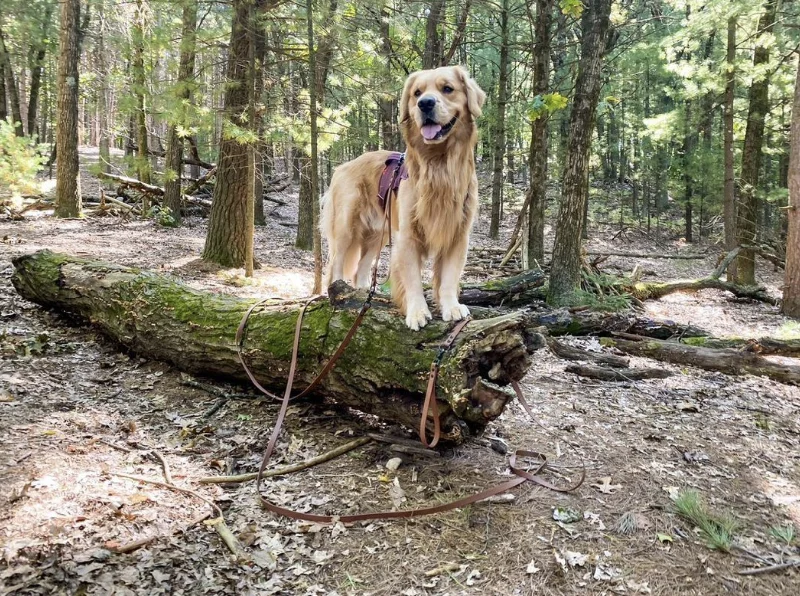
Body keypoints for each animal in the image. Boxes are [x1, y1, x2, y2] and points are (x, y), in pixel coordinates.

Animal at [320, 66, 484, 330]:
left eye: (448, 88)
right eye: (417, 93)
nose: (425, 103)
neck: (438, 165)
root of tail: (342, 167)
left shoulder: (458, 233)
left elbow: (449, 276)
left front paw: (451, 306)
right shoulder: (407, 235)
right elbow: (413, 279)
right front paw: (417, 312)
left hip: (377, 235)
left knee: (360, 268)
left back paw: (363, 292)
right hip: (346, 227)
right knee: (335, 264)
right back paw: (337, 290)